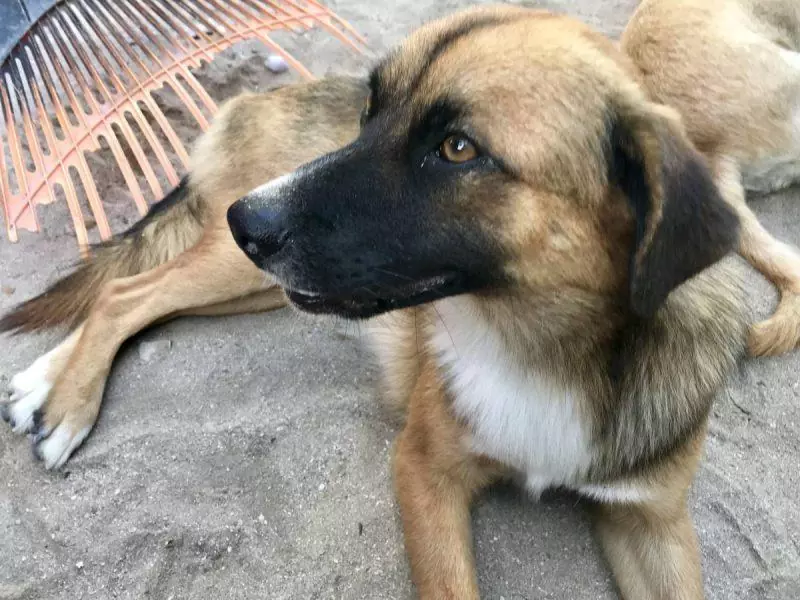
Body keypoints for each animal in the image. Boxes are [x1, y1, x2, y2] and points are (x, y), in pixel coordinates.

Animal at [1, 1, 800, 600]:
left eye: (458, 148)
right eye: (373, 109)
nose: (247, 220)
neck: (544, 344)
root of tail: (256, 97)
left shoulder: (654, 523)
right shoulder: (424, 472)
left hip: (272, 285)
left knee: (141, 295)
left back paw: (45, 385)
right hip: (249, 270)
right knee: (127, 292)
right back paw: (67, 408)